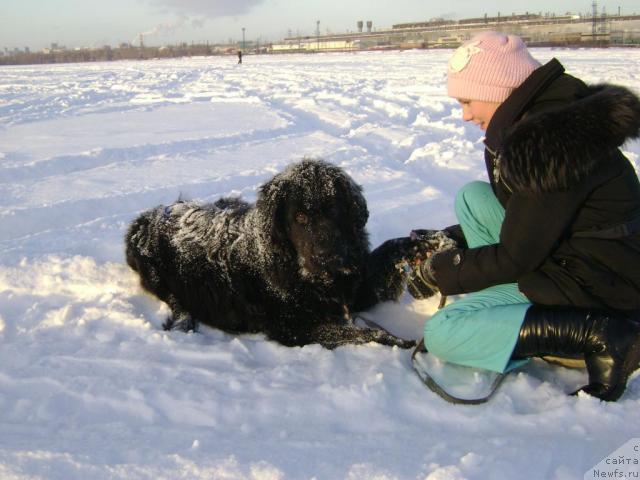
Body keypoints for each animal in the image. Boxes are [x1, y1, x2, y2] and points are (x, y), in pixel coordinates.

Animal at [125, 159, 416, 346]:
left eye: (334, 210)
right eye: (299, 217)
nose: (327, 257)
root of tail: (147, 217)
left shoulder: (353, 288)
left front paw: (415, 244)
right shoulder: (292, 327)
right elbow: (361, 334)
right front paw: (397, 340)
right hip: (156, 274)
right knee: (175, 301)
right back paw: (184, 322)